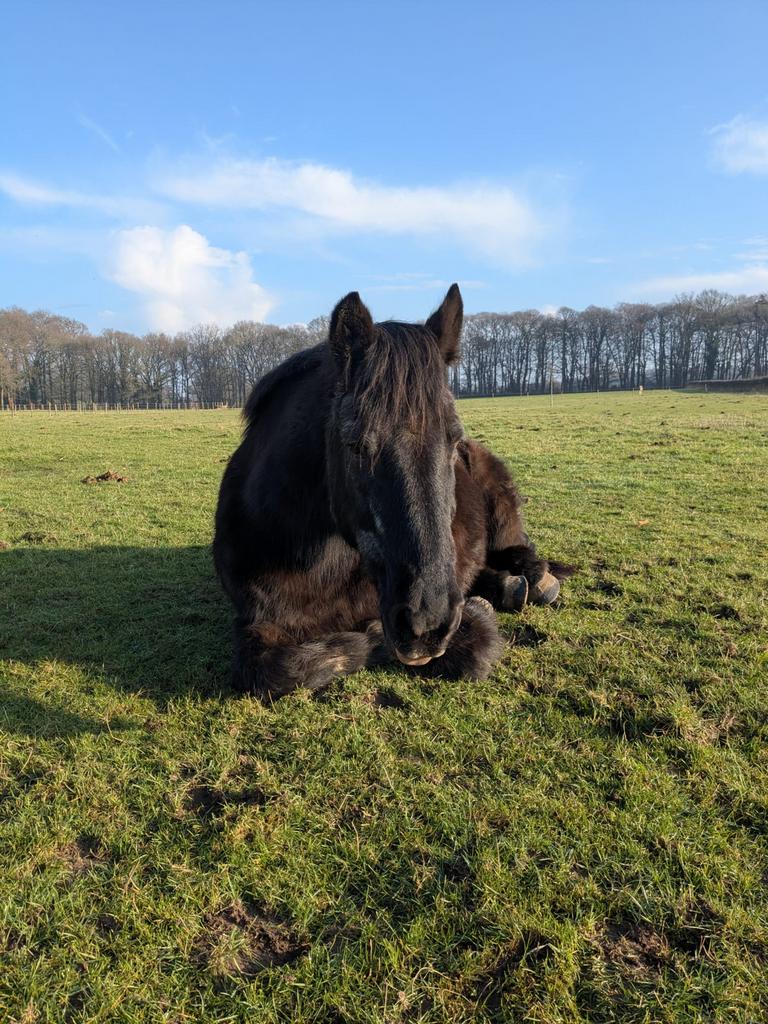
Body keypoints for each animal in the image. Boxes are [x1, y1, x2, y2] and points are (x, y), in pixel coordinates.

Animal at [213, 285, 571, 698]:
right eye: (356, 445)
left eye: (453, 439)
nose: (427, 621)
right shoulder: (256, 623)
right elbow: (281, 670)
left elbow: (473, 650)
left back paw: (530, 580)